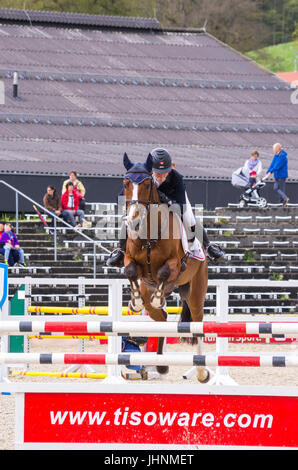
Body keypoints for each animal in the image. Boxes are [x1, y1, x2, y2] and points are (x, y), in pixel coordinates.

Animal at [121, 152, 210, 384]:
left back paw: (202, 372)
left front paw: (158, 297)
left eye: (147, 184)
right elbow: (130, 271)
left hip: (196, 290)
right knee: (161, 319)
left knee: (197, 323)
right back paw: (161, 365)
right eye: (125, 183)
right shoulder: (129, 259)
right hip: (151, 293)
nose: (132, 222)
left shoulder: (175, 264)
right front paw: (134, 302)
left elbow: (163, 271)